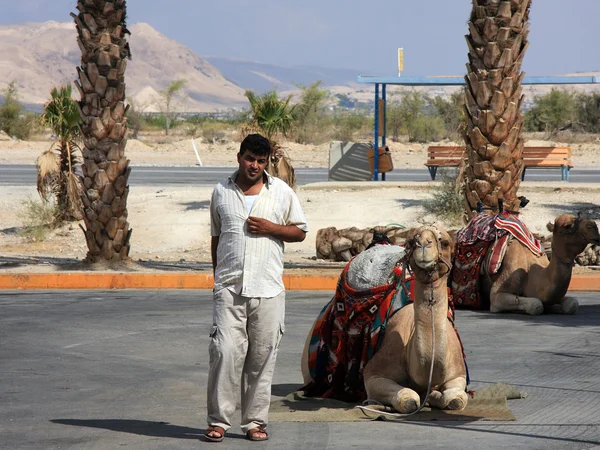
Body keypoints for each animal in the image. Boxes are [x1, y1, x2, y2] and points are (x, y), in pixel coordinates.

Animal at [300, 227, 468, 414]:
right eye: (411, 241)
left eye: (445, 242)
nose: (423, 244)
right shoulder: (374, 375)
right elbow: (408, 399)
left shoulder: (458, 374)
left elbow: (457, 399)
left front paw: (434, 395)